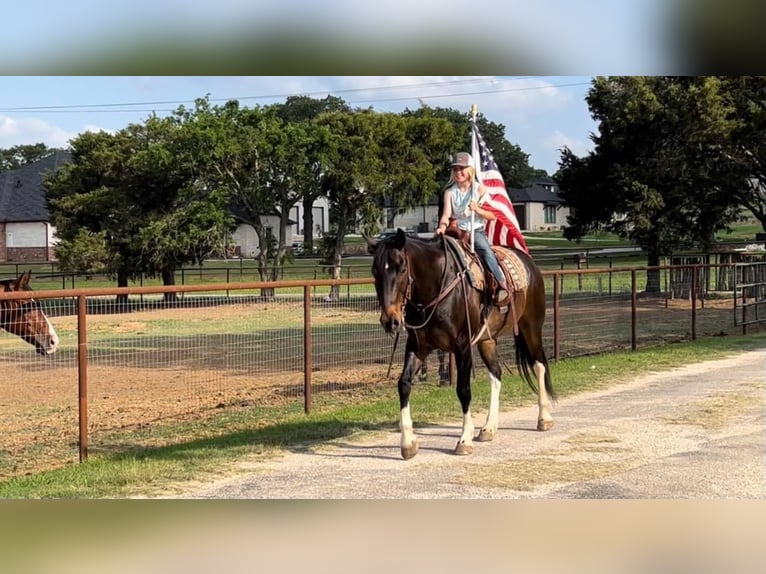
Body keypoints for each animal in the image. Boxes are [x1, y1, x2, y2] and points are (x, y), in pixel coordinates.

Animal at [370, 228, 556, 460]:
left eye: (402, 268)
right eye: (375, 271)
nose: (390, 321)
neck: (436, 288)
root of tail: (529, 262)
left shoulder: (463, 347)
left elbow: (463, 389)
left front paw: (464, 440)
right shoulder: (418, 347)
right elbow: (403, 384)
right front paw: (408, 443)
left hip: (530, 328)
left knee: (539, 365)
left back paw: (544, 418)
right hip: (487, 340)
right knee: (496, 374)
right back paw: (489, 427)